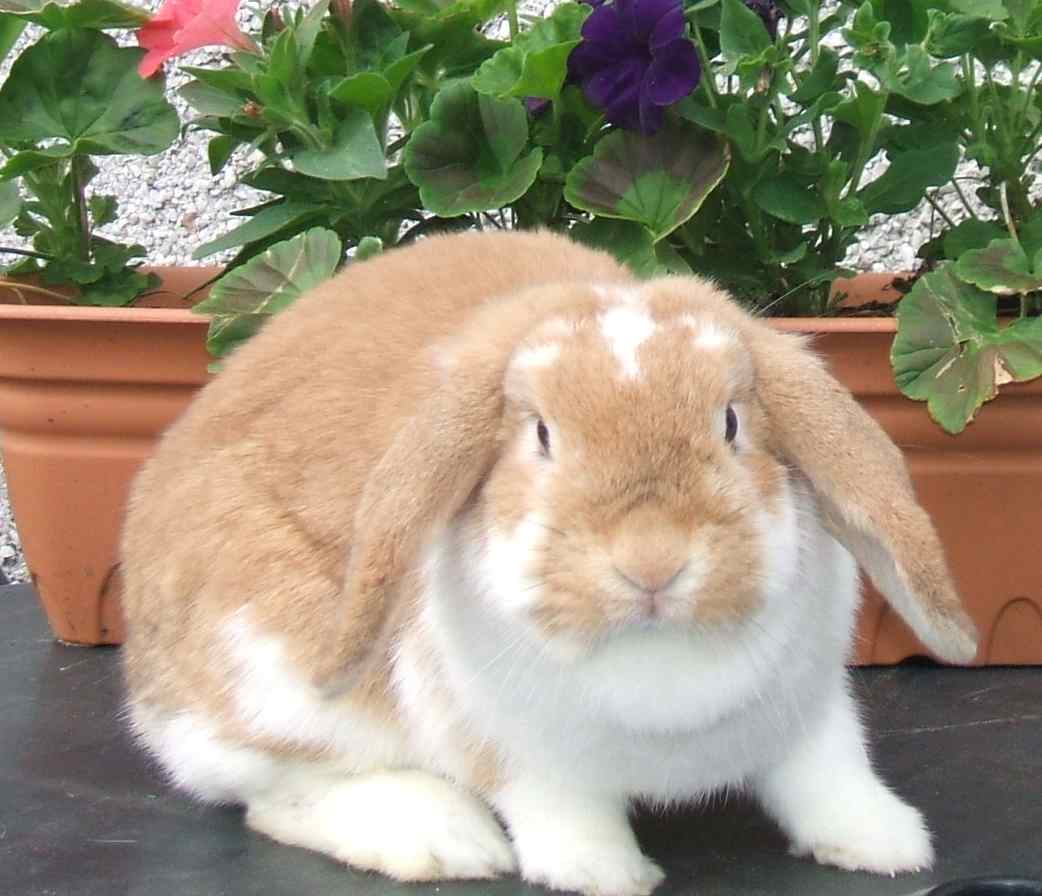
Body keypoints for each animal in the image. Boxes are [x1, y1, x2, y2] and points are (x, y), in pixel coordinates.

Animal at [120, 228, 978, 896]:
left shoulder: (810, 711)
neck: (656, 657)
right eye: (541, 436)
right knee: (277, 795)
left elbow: (831, 774)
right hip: (268, 676)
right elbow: (562, 813)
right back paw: (442, 839)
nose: (651, 561)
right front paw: (603, 874)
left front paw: (887, 844)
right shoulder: (523, 755)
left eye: (732, 423)